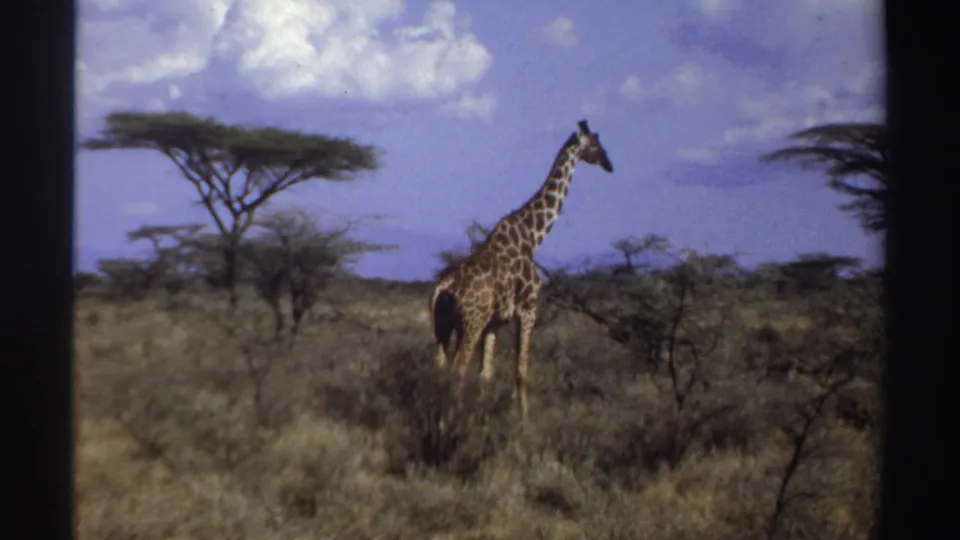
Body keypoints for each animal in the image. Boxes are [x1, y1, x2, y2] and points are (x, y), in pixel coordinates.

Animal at [429, 119, 614, 419]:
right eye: (596, 145)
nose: (609, 164)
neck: (532, 237)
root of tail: (446, 286)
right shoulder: (528, 310)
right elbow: (521, 372)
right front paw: (524, 421)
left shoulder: (495, 322)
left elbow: (486, 374)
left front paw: (484, 415)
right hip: (471, 322)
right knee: (457, 370)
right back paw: (451, 421)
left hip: (443, 326)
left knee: (441, 369)